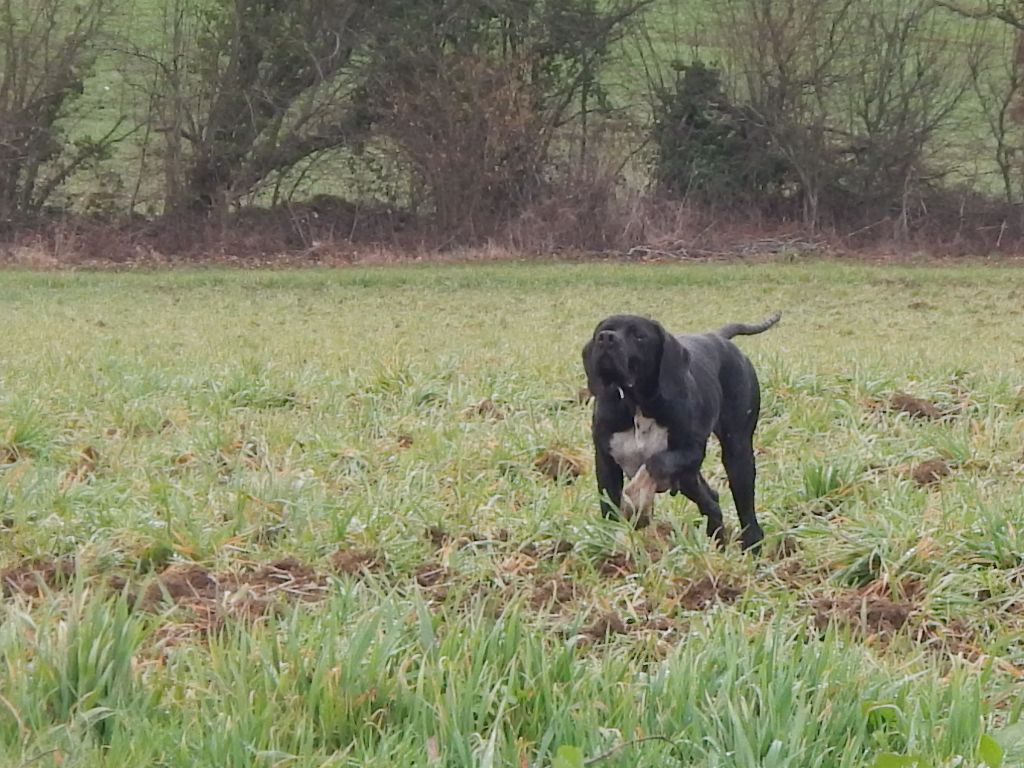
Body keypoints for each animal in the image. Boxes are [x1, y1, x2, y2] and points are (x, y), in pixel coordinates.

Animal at [581, 313, 778, 552]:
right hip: (688, 478)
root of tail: (717, 336)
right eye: (601, 331)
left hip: (736, 456)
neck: (636, 403)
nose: (606, 338)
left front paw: (637, 499)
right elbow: (609, 507)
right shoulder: (605, 462)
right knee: (711, 501)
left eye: (639, 336)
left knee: (747, 516)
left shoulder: (690, 452)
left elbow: (655, 462)